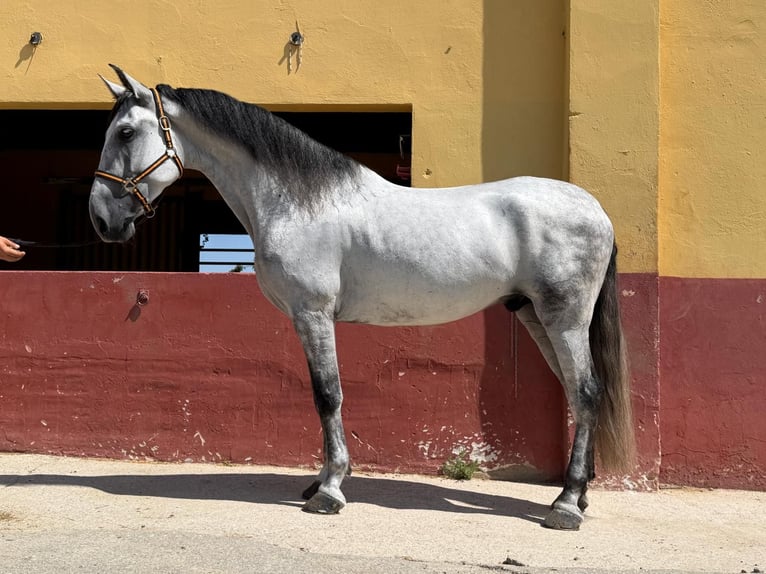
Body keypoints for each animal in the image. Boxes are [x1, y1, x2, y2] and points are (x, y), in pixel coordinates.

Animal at [89, 65, 634, 530]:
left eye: (126, 133)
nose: (101, 219)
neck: (297, 202)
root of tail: (596, 209)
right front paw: (320, 483)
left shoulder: (313, 313)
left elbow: (327, 394)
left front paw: (329, 491)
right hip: (537, 318)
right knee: (577, 394)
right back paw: (578, 495)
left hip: (564, 319)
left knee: (588, 392)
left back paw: (565, 506)